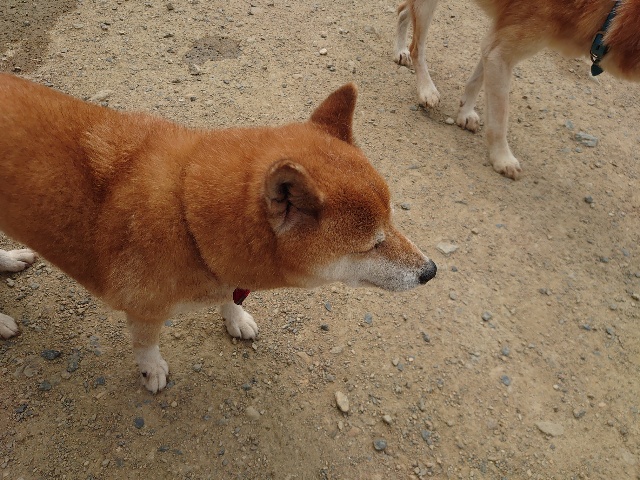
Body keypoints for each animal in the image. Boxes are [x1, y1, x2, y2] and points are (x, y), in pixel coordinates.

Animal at [0, 74, 437, 392]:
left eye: (392, 220)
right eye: (372, 245)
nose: (430, 271)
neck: (186, 212)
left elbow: (230, 297)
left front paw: (235, 317)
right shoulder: (143, 308)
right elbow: (145, 344)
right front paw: (152, 369)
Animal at [394, 0, 640, 179]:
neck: (612, 12)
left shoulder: (496, 46)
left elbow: (476, 81)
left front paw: (465, 113)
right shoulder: (501, 53)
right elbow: (499, 119)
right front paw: (502, 158)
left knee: (403, 10)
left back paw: (399, 51)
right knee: (417, 47)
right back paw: (426, 88)